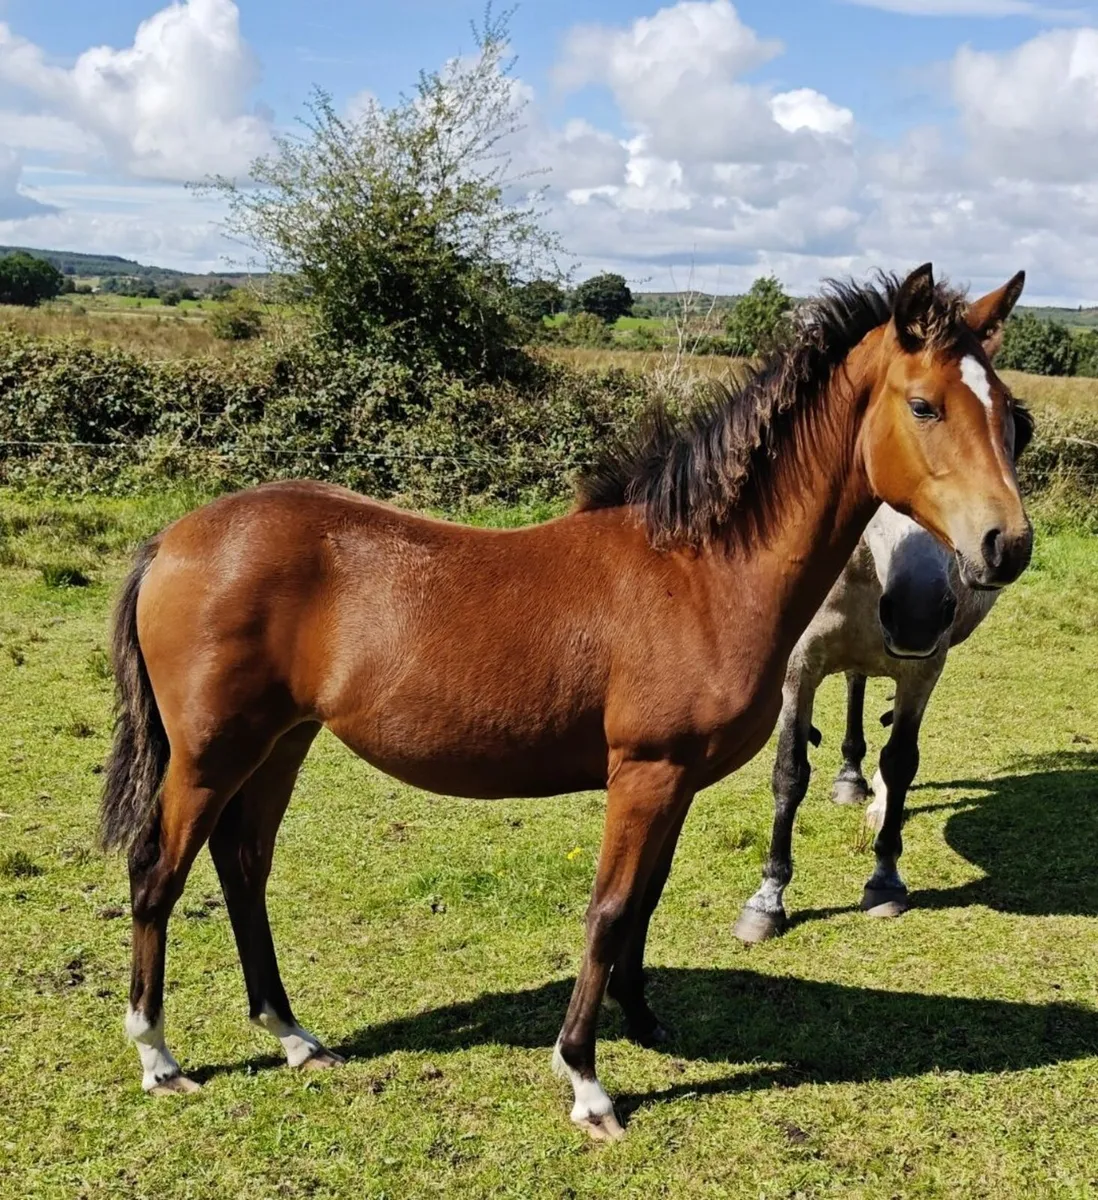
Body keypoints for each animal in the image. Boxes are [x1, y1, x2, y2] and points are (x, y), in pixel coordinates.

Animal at [732, 403, 1032, 947]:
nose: (917, 612)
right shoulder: (798, 670)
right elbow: (789, 773)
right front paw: (767, 900)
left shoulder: (922, 672)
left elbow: (901, 763)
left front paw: (885, 880)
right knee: (856, 681)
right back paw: (850, 778)